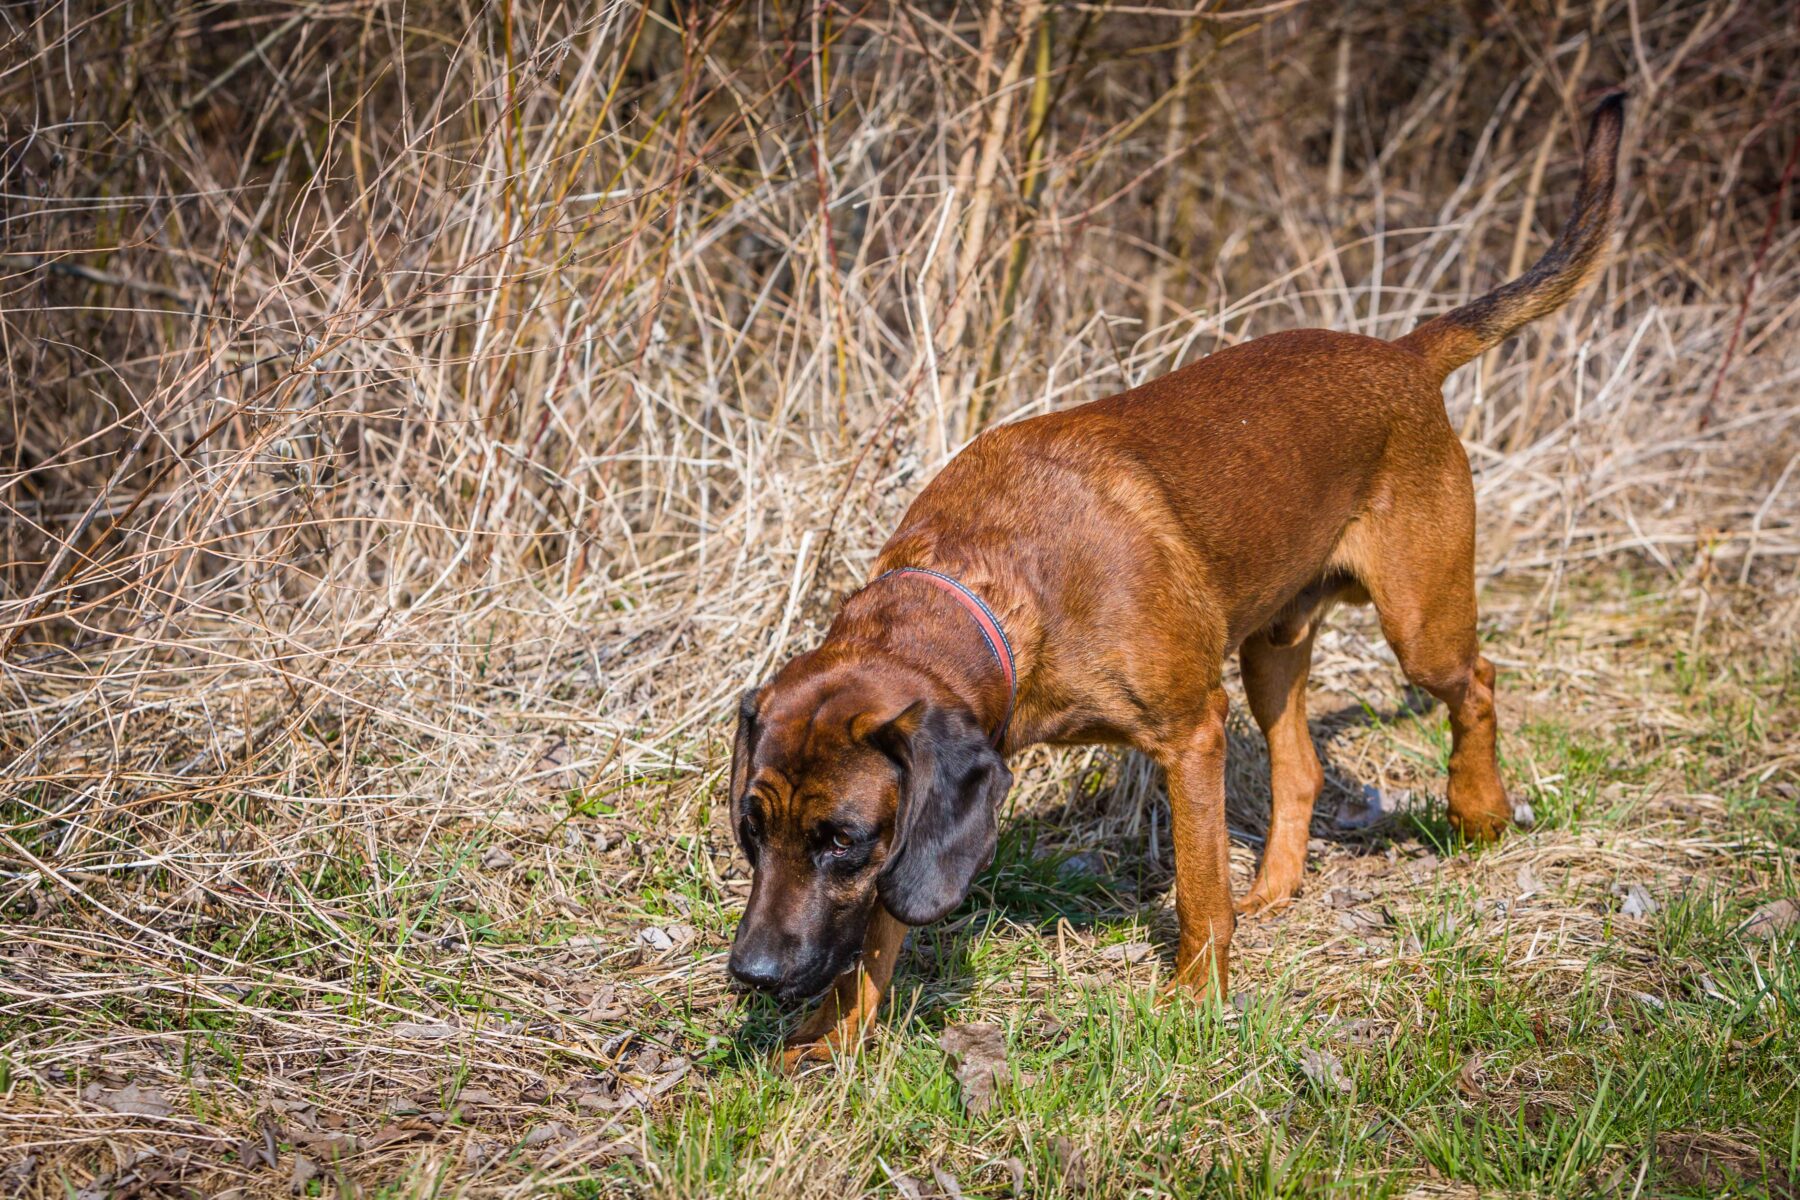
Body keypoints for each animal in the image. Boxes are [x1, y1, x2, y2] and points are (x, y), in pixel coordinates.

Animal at [723, 96, 1627, 1072]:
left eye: (841, 840)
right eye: (751, 828)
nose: (752, 975)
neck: (994, 587)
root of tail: (1402, 354)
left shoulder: (1190, 733)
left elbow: (1197, 890)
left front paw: (1196, 999)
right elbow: (881, 931)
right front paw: (833, 1035)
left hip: (1420, 621)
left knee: (1477, 685)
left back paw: (1478, 810)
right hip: (1272, 650)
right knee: (1301, 766)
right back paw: (1276, 887)